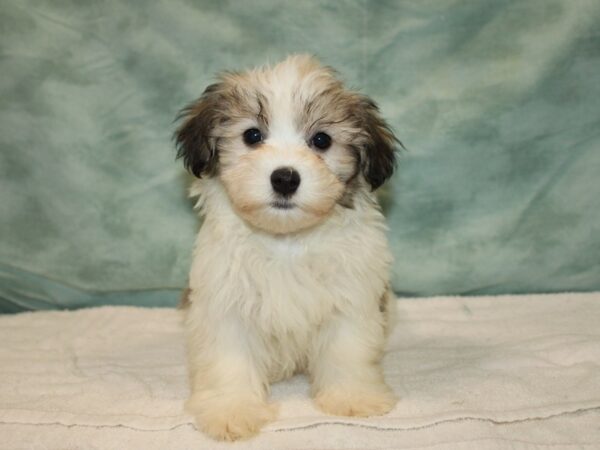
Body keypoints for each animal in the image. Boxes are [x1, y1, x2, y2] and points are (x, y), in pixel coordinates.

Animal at [173, 53, 398, 440]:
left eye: (321, 140)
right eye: (252, 135)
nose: (285, 178)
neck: (287, 241)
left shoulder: (351, 299)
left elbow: (347, 350)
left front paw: (353, 397)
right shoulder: (225, 303)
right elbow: (228, 360)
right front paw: (231, 409)